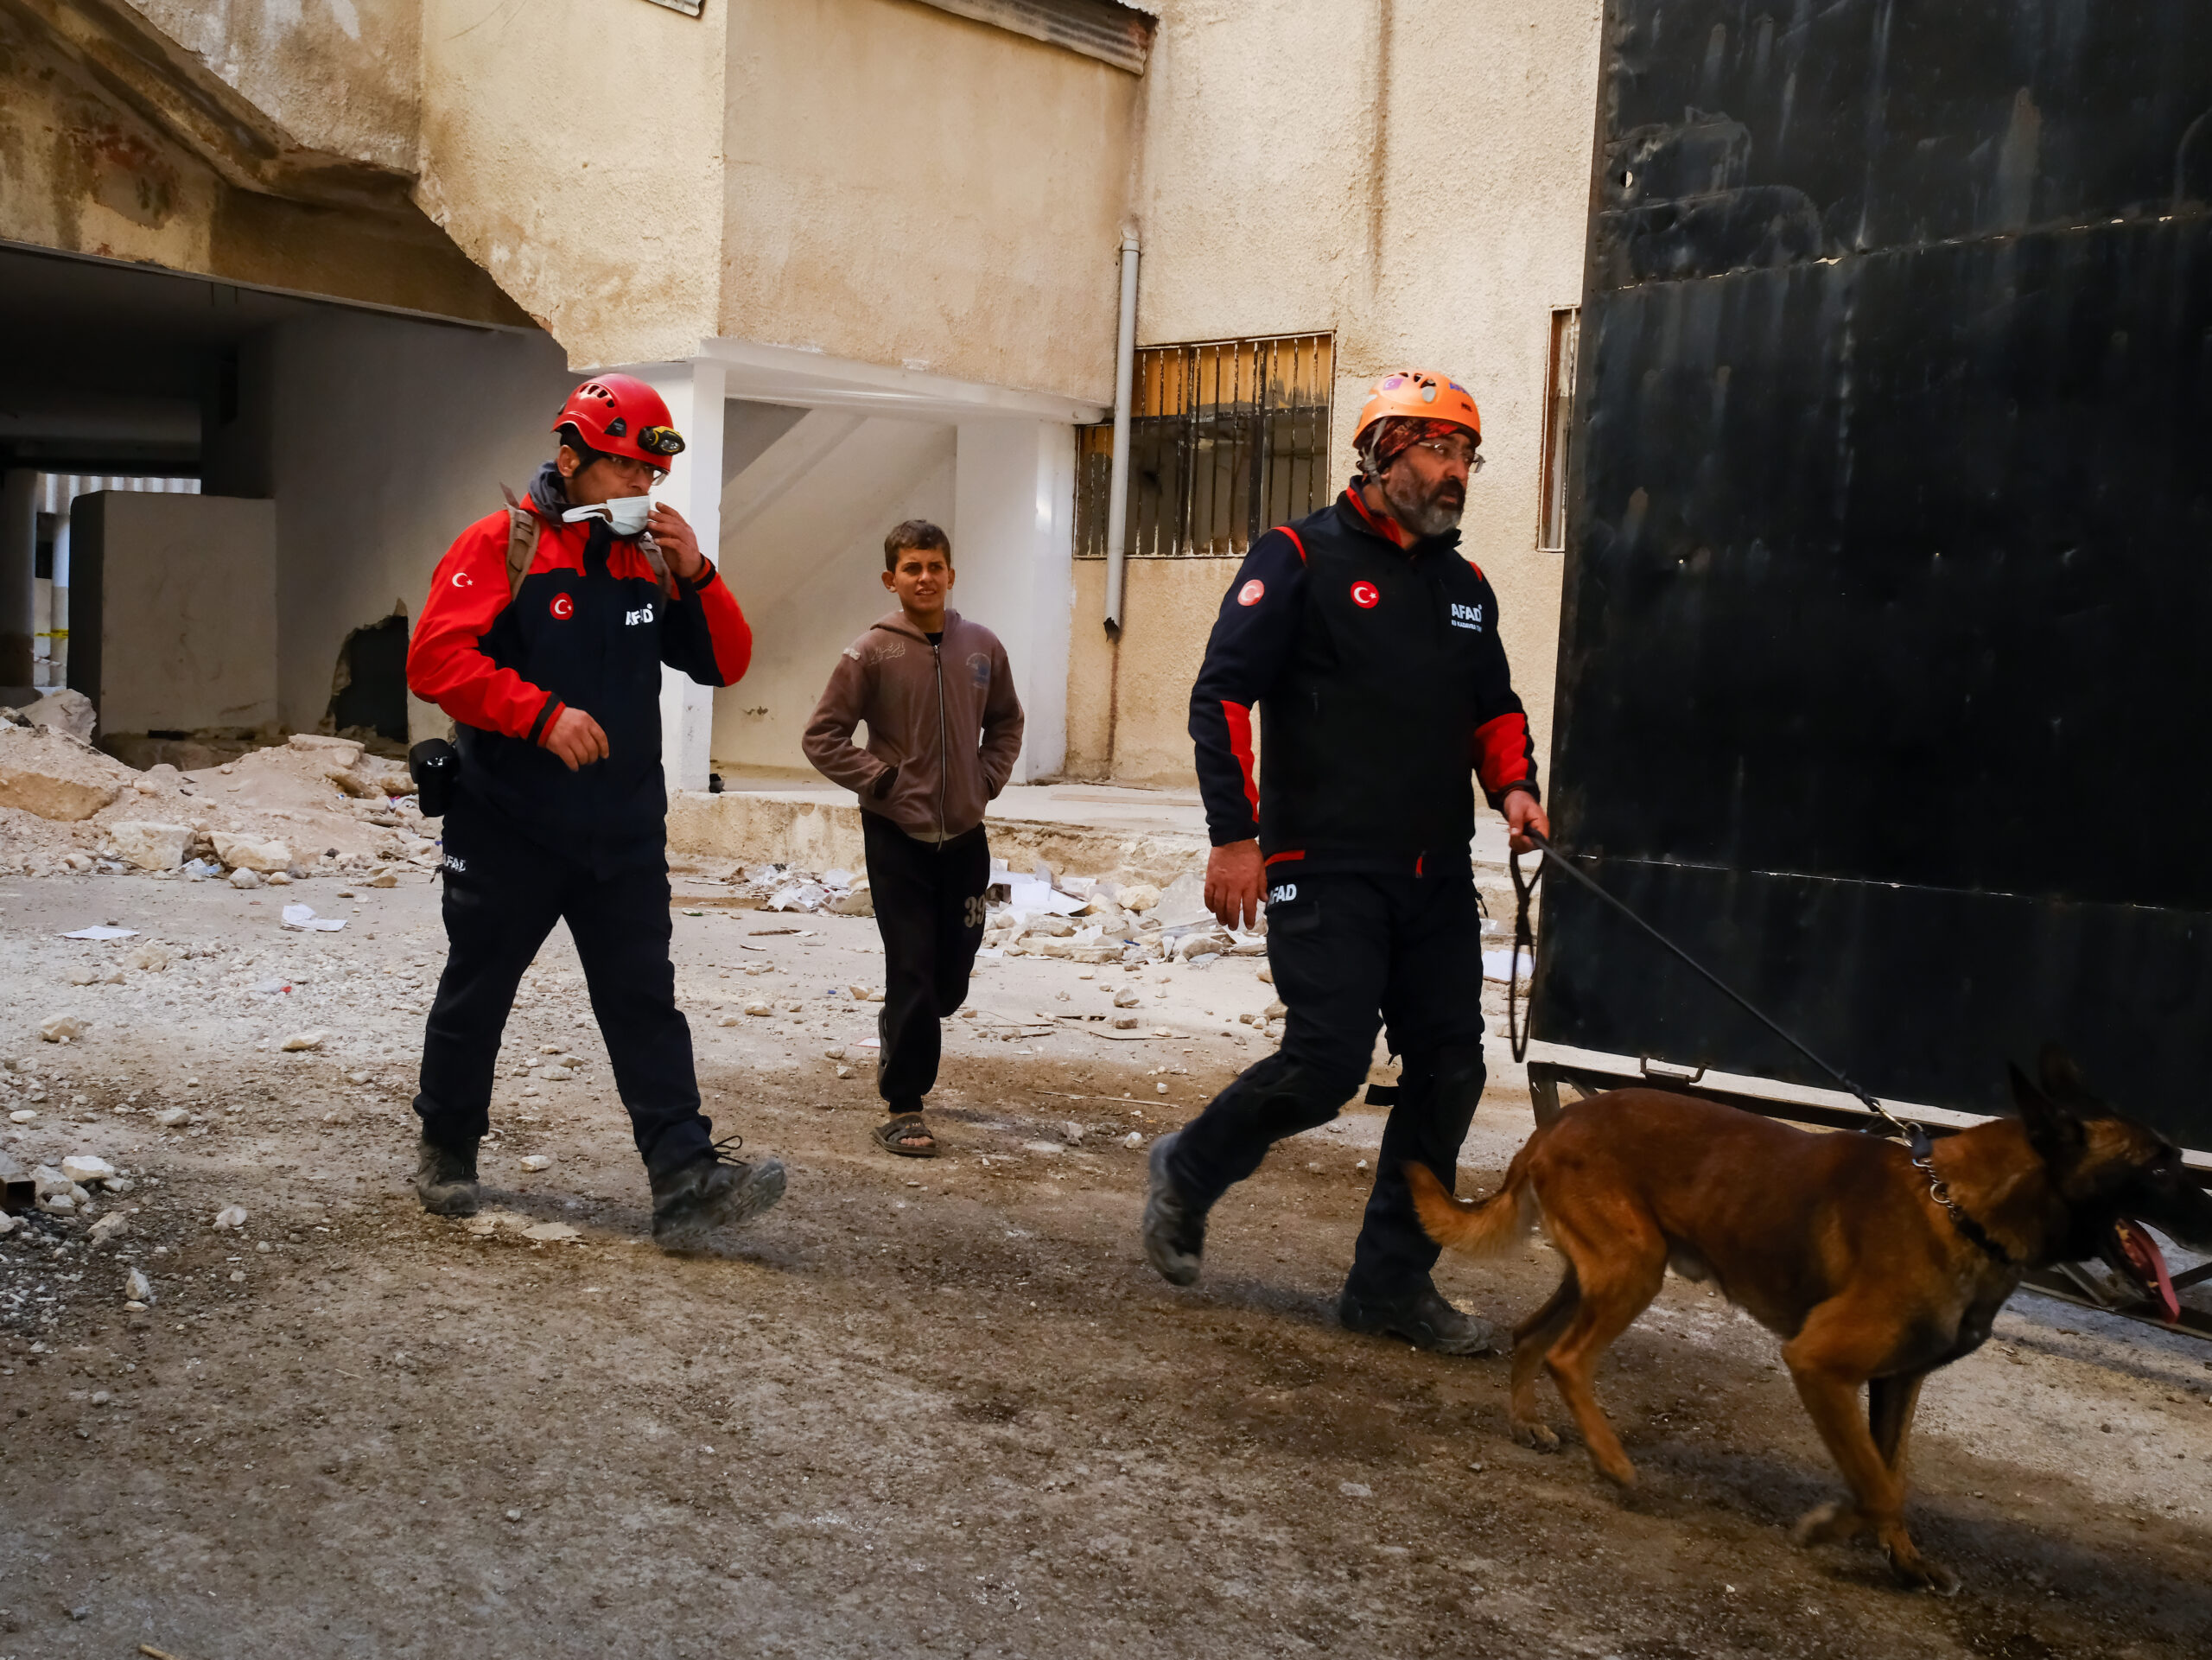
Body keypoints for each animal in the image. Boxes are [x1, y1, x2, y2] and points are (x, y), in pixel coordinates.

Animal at [1407, 1053, 2212, 1602]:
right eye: (2159, 1167)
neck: (1962, 1205)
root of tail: (1557, 1124)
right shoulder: (1820, 1363)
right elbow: (1878, 1486)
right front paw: (1828, 1527)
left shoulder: (1898, 1380)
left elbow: (1891, 1472)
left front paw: (1905, 1561)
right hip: (1633, 1270)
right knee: (1568, 1357)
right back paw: (1613, 1462)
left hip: (1598, 1273)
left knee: (1528, 1335)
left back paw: (1525, 1422)